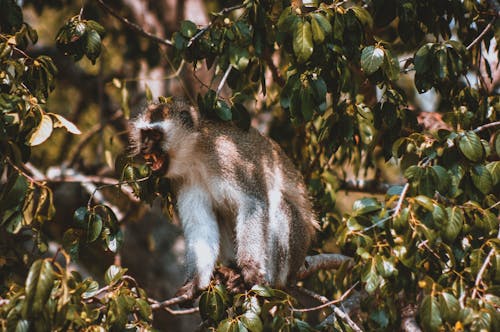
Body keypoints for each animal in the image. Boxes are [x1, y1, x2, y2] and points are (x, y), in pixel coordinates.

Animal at [128, 98, 316, 300]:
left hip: (296, 247)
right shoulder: (183, 178)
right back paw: (231, 270)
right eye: (144, 134)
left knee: (280, 206)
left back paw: (266, 280)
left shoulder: (229, 157)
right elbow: (200, 224)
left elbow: (253, 203)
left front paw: (250, 269)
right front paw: (194, 283)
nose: (144, 147)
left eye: (155, 135)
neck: (195, 153)